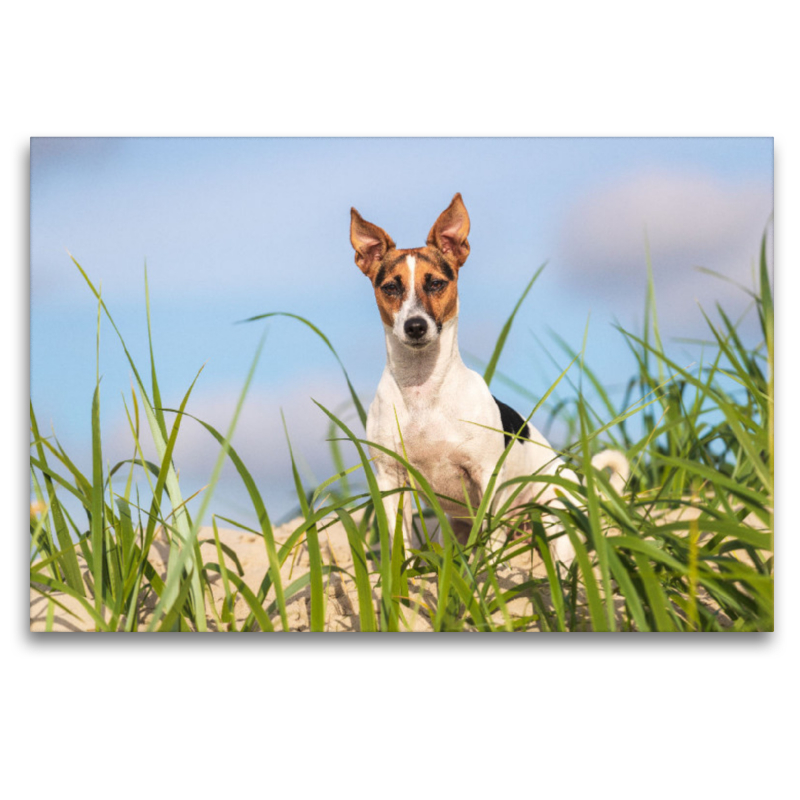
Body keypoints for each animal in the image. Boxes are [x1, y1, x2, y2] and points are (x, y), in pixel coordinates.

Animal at [348, 195, 624, 564]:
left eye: (436, 283)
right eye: (390, 287)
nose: (415, 326)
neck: (423, 390)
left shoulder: (486, 473)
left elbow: (489, 541)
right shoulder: (392, 478)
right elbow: (399, 544)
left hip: (555, 516)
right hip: (455, 528)